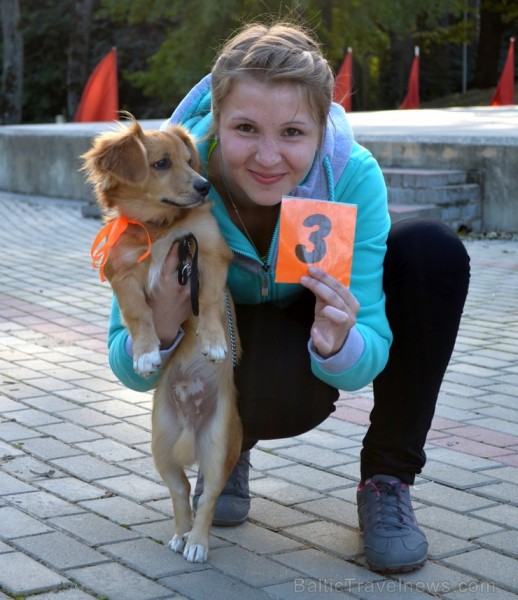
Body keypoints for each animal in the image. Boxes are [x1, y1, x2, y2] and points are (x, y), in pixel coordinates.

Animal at [81, 118, 244, 564]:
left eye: (190, 160)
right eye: (161, 163)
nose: (205, 186)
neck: (160, 228)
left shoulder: (209, 252)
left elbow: (209, 301)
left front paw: (214, 342)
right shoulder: (122, 273)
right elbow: (138, 313)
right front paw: (145, 354)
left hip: (219, 445)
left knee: (208, 496)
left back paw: (198, 543)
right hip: (162, 448)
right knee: (182, 490)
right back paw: (181, 535)